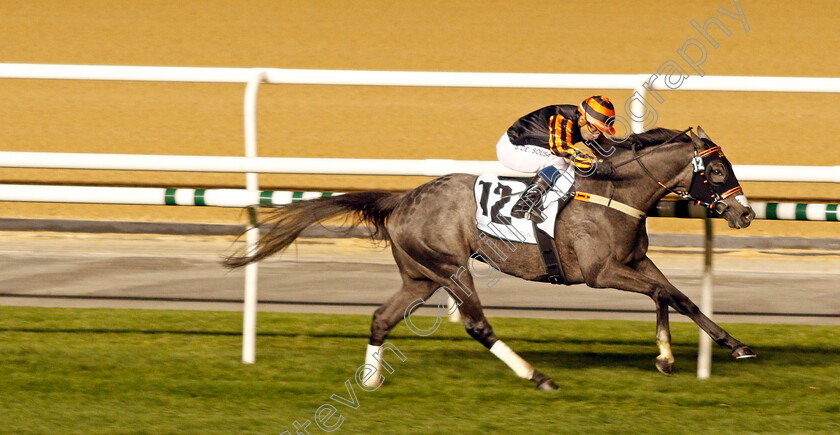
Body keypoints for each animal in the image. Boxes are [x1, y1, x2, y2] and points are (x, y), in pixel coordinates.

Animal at [221, 126, 756, 392]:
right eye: (716, 169)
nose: (745, 212)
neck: (613, 192)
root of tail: (403, 199)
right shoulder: (602, 273)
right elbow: (663, 293)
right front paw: (667, 356)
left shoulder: (636, 262)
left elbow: (680, 297)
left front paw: (731, 346)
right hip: (450, 267)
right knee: (477, 325)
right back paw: (538, 378)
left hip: (420, 276)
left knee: (380, 317)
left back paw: (370, 382)